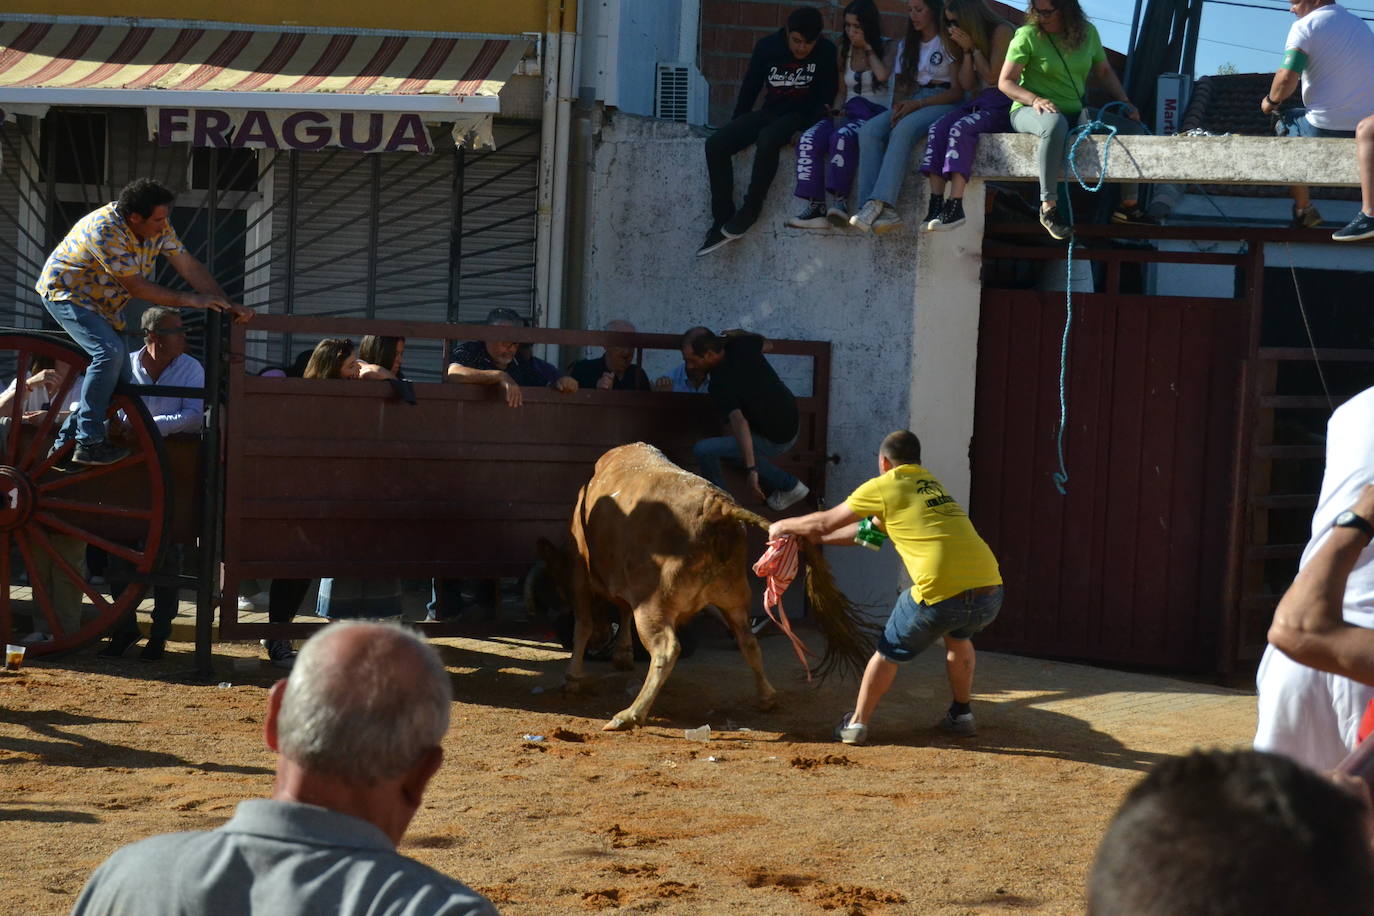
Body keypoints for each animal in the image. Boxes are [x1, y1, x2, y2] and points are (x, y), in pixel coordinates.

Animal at [535, 439, 868, 736]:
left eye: (560, 585)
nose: (602, 640)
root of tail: (718, 507)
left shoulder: (581, 573)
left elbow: (584, 624)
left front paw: (573, 678)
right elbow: (621, 612)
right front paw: (623, 655)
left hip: (654, 606)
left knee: (667, 649)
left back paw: (629, 715)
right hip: (734, 595)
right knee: (747, 640)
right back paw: (767, 697)